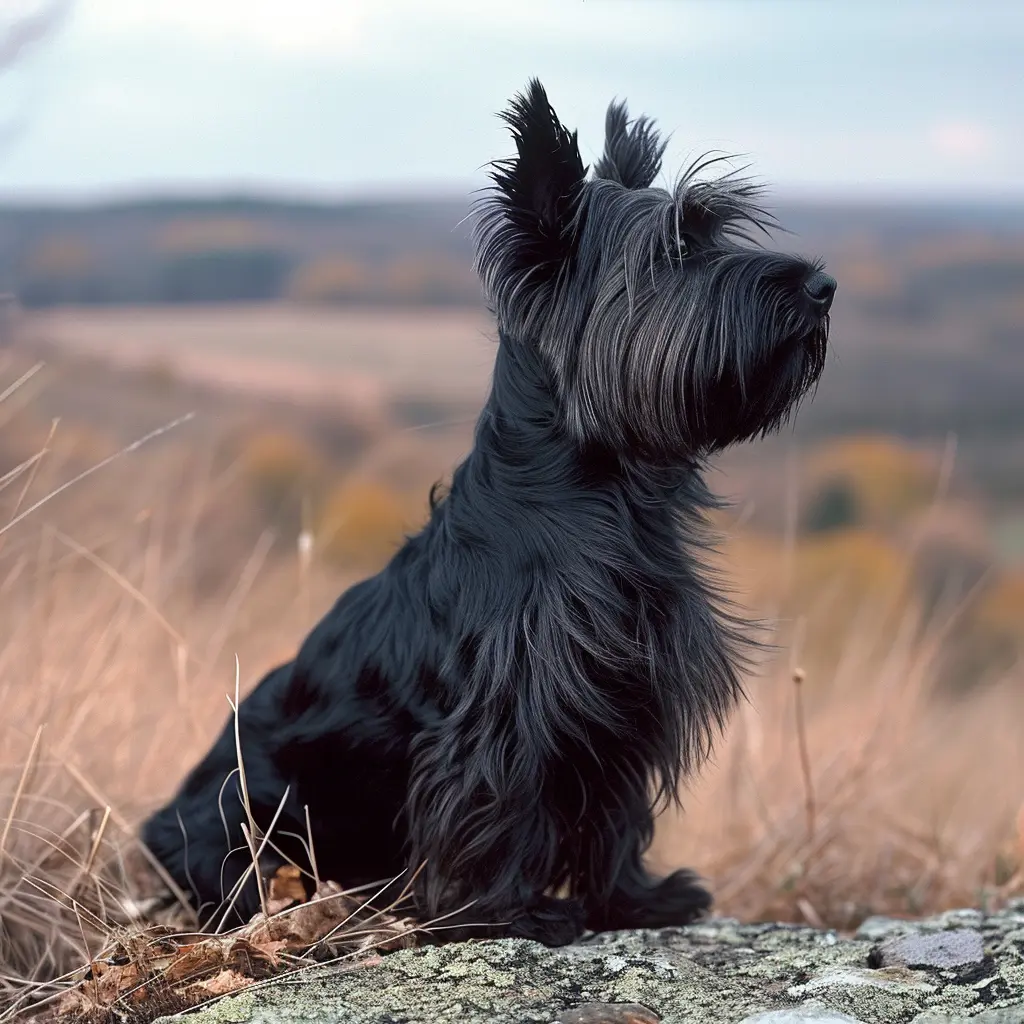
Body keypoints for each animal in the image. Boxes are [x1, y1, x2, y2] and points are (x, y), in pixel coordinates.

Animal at [142, 77, 831, 942]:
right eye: (675, 250)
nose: (823, 286)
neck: (607, 490)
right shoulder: (507, 713)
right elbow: (496, 804)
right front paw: (505, 914)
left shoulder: (625, 702)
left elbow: (616, 814)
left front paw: (632, 900)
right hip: (249, 820)